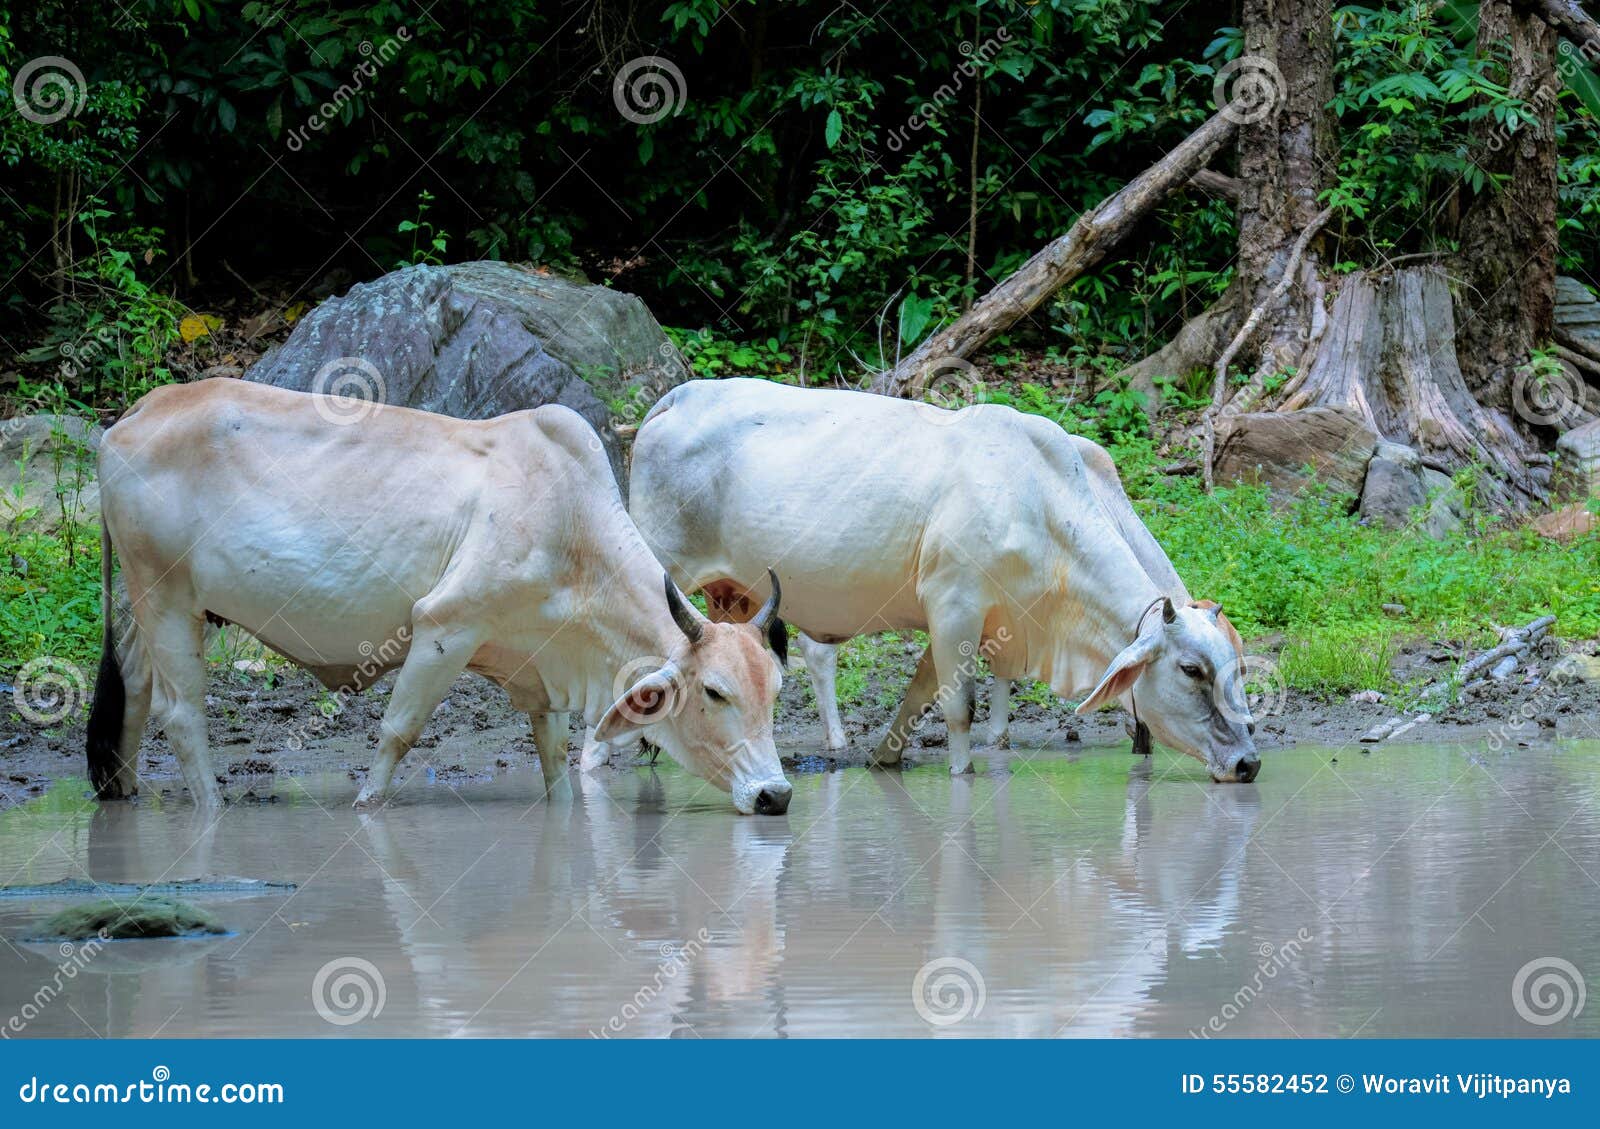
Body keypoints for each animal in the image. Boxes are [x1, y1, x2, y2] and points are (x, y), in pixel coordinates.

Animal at [85, 379, 793, 815]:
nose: (776, 796)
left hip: (167, 609)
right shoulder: (444, 628)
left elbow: (555, 761)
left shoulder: (539, 669)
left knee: (135, 689)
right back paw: (211, 810)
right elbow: (397, 732)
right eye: (714, 692)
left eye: (775, 691)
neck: (570, 524)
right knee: (180, 714)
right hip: (165, 598)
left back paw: (123, 792)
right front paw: (367, 806)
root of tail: (136, 413)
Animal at [622, 378, 1260, 783]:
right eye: (1191, 670)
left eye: (1237, 669)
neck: (1040, 499)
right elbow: (960, 708)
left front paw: (883, 759)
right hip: (660, 570)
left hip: (733, 599)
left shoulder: (981, 620)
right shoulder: (955, 605)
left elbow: (919, 695)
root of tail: (674, 398)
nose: (1249, 763)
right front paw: (963, 773)